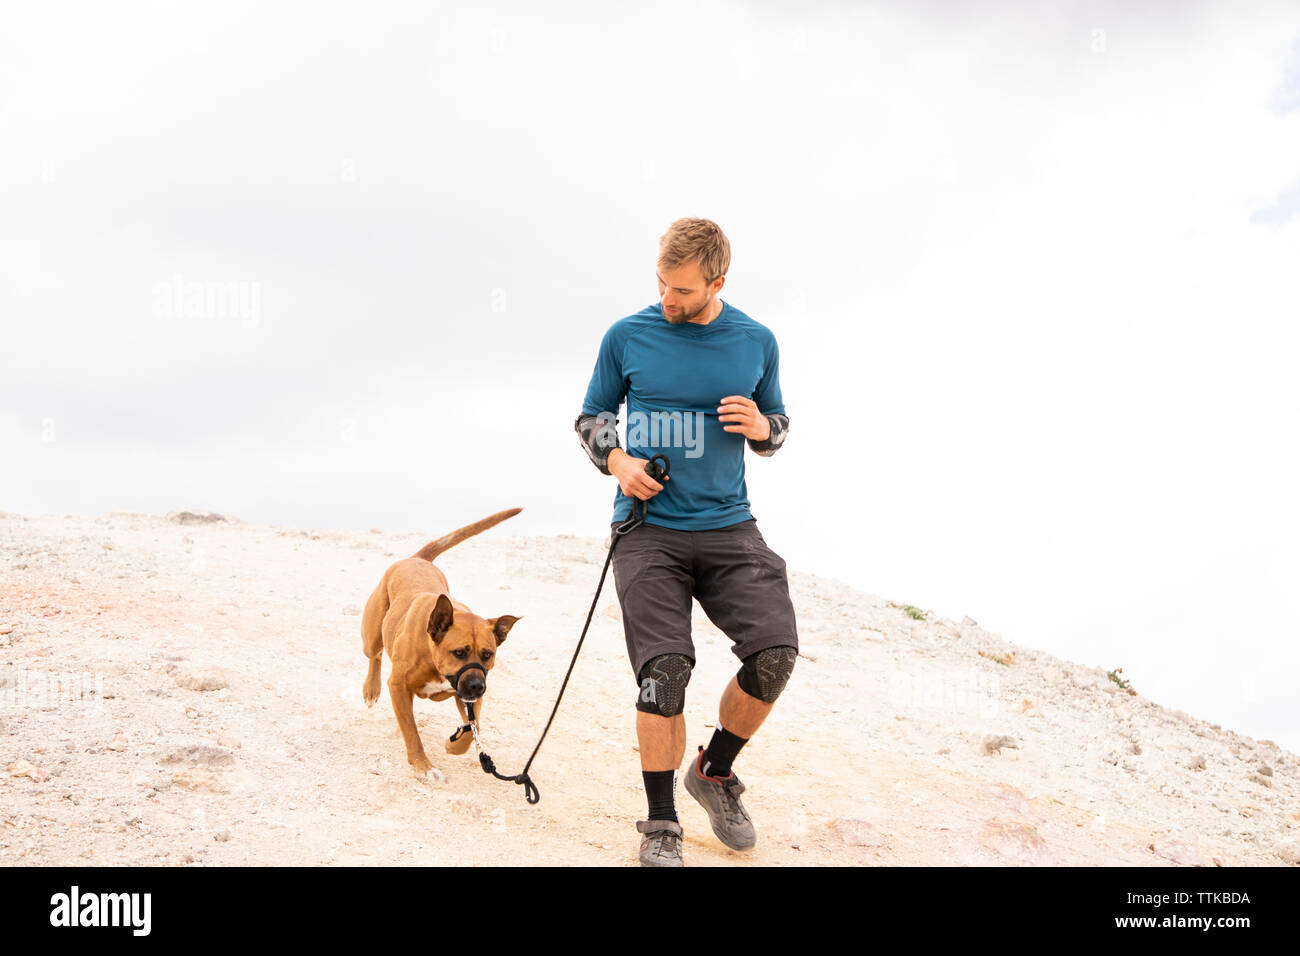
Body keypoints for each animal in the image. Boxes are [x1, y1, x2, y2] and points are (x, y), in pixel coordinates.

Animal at [361, 509, 522, 780]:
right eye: (459, 652)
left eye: (488, 654)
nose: (478, 686)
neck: (431, 652)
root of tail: (417, 559)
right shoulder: (398, 684)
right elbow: (412, 733)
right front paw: (423, 765)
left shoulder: (467, 697)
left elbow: (473, 726)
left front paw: (454, 745)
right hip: (371, 634)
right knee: (375, 654)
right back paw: (371, 689)